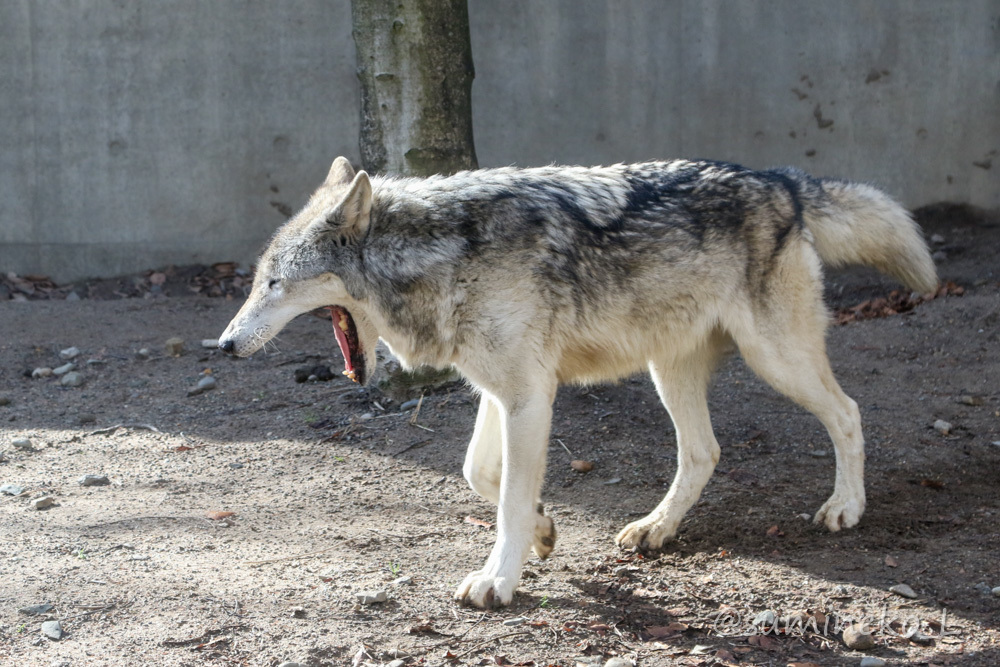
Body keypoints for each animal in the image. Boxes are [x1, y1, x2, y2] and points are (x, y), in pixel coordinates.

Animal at [219, 157, 936, 612]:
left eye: (275, 283)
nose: (223, 345)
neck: (442, 257)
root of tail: (782, 180)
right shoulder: (505, 394)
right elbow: (481, 476)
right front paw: (542, 530)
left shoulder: (529, 398)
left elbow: (506, 498)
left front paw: (498, 580)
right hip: (669, 371)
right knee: (704, 452)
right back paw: (655, 529)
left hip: (775, 359)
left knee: (848, 413)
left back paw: (845, 507)